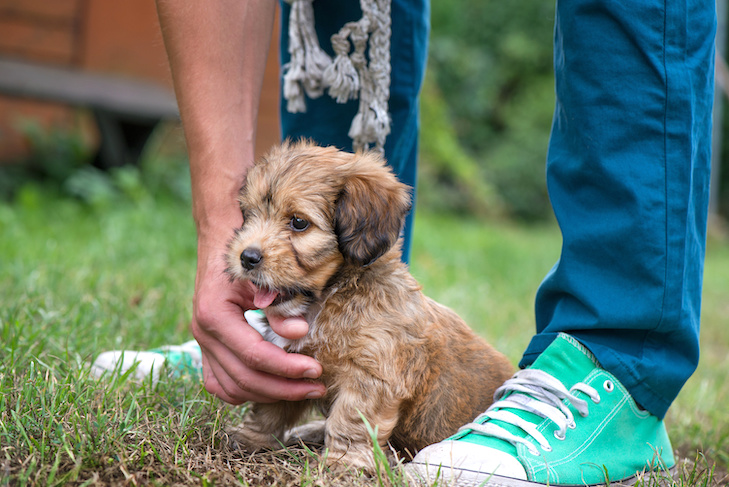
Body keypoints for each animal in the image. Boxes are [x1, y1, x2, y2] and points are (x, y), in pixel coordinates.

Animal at [223, 140, 512, 472]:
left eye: (298, 222)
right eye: (248, 215)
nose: (247, 257)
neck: (332, 297)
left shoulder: (371, 378)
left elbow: (350, 421)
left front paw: (342, 462)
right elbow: (269, 409)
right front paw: (251, 438)